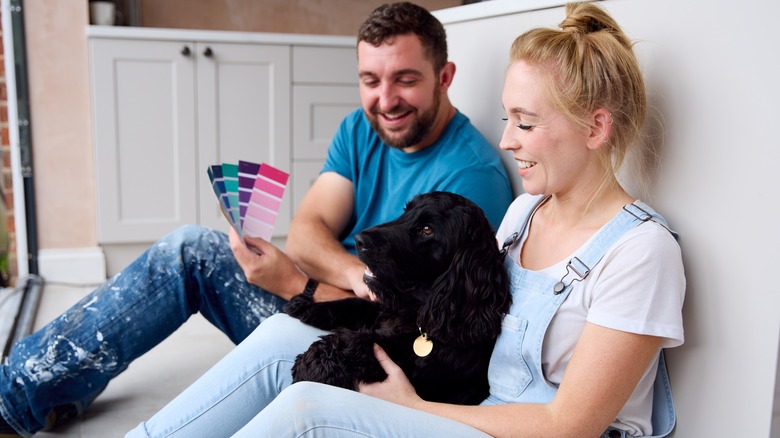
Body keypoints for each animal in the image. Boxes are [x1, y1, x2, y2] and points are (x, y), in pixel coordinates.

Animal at [284, 193, 508, 406]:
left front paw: (312, 361)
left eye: (427, 230)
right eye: (406, 211)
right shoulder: (388, 308)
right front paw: (306, 307)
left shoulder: (412, 363)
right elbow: (359, 304)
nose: (359, 239)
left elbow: (363, 342)